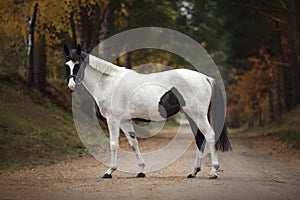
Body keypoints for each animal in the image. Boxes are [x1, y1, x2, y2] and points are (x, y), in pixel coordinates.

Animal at [63, 44, 232, 179]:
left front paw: (109, 171)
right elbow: (133, 143)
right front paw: (141, 171)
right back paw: (193, 172)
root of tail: (205, 78)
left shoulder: (113, 119)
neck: (109, 82)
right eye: (66, 65)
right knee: (199, 139)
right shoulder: (125, 121)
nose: (71, 86)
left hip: (198, 116)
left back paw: (213, 171)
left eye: (78, 64)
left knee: (210, 135)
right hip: (192, 116)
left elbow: (113, 144)